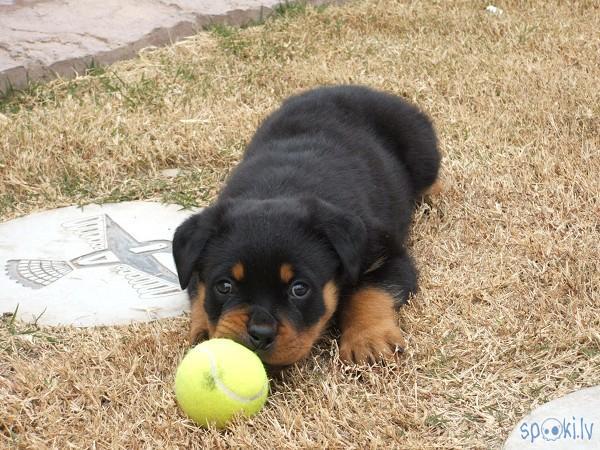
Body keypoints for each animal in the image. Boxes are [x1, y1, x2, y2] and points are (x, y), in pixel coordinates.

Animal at [171, 84, 438, 366]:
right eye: (224, 286)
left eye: (300, 289)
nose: (260, 333)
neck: (279, 191)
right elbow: (198, 292)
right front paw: (203, 330)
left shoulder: (386, 255)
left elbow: (369, 293)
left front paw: (369, 341)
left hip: (422, 151)